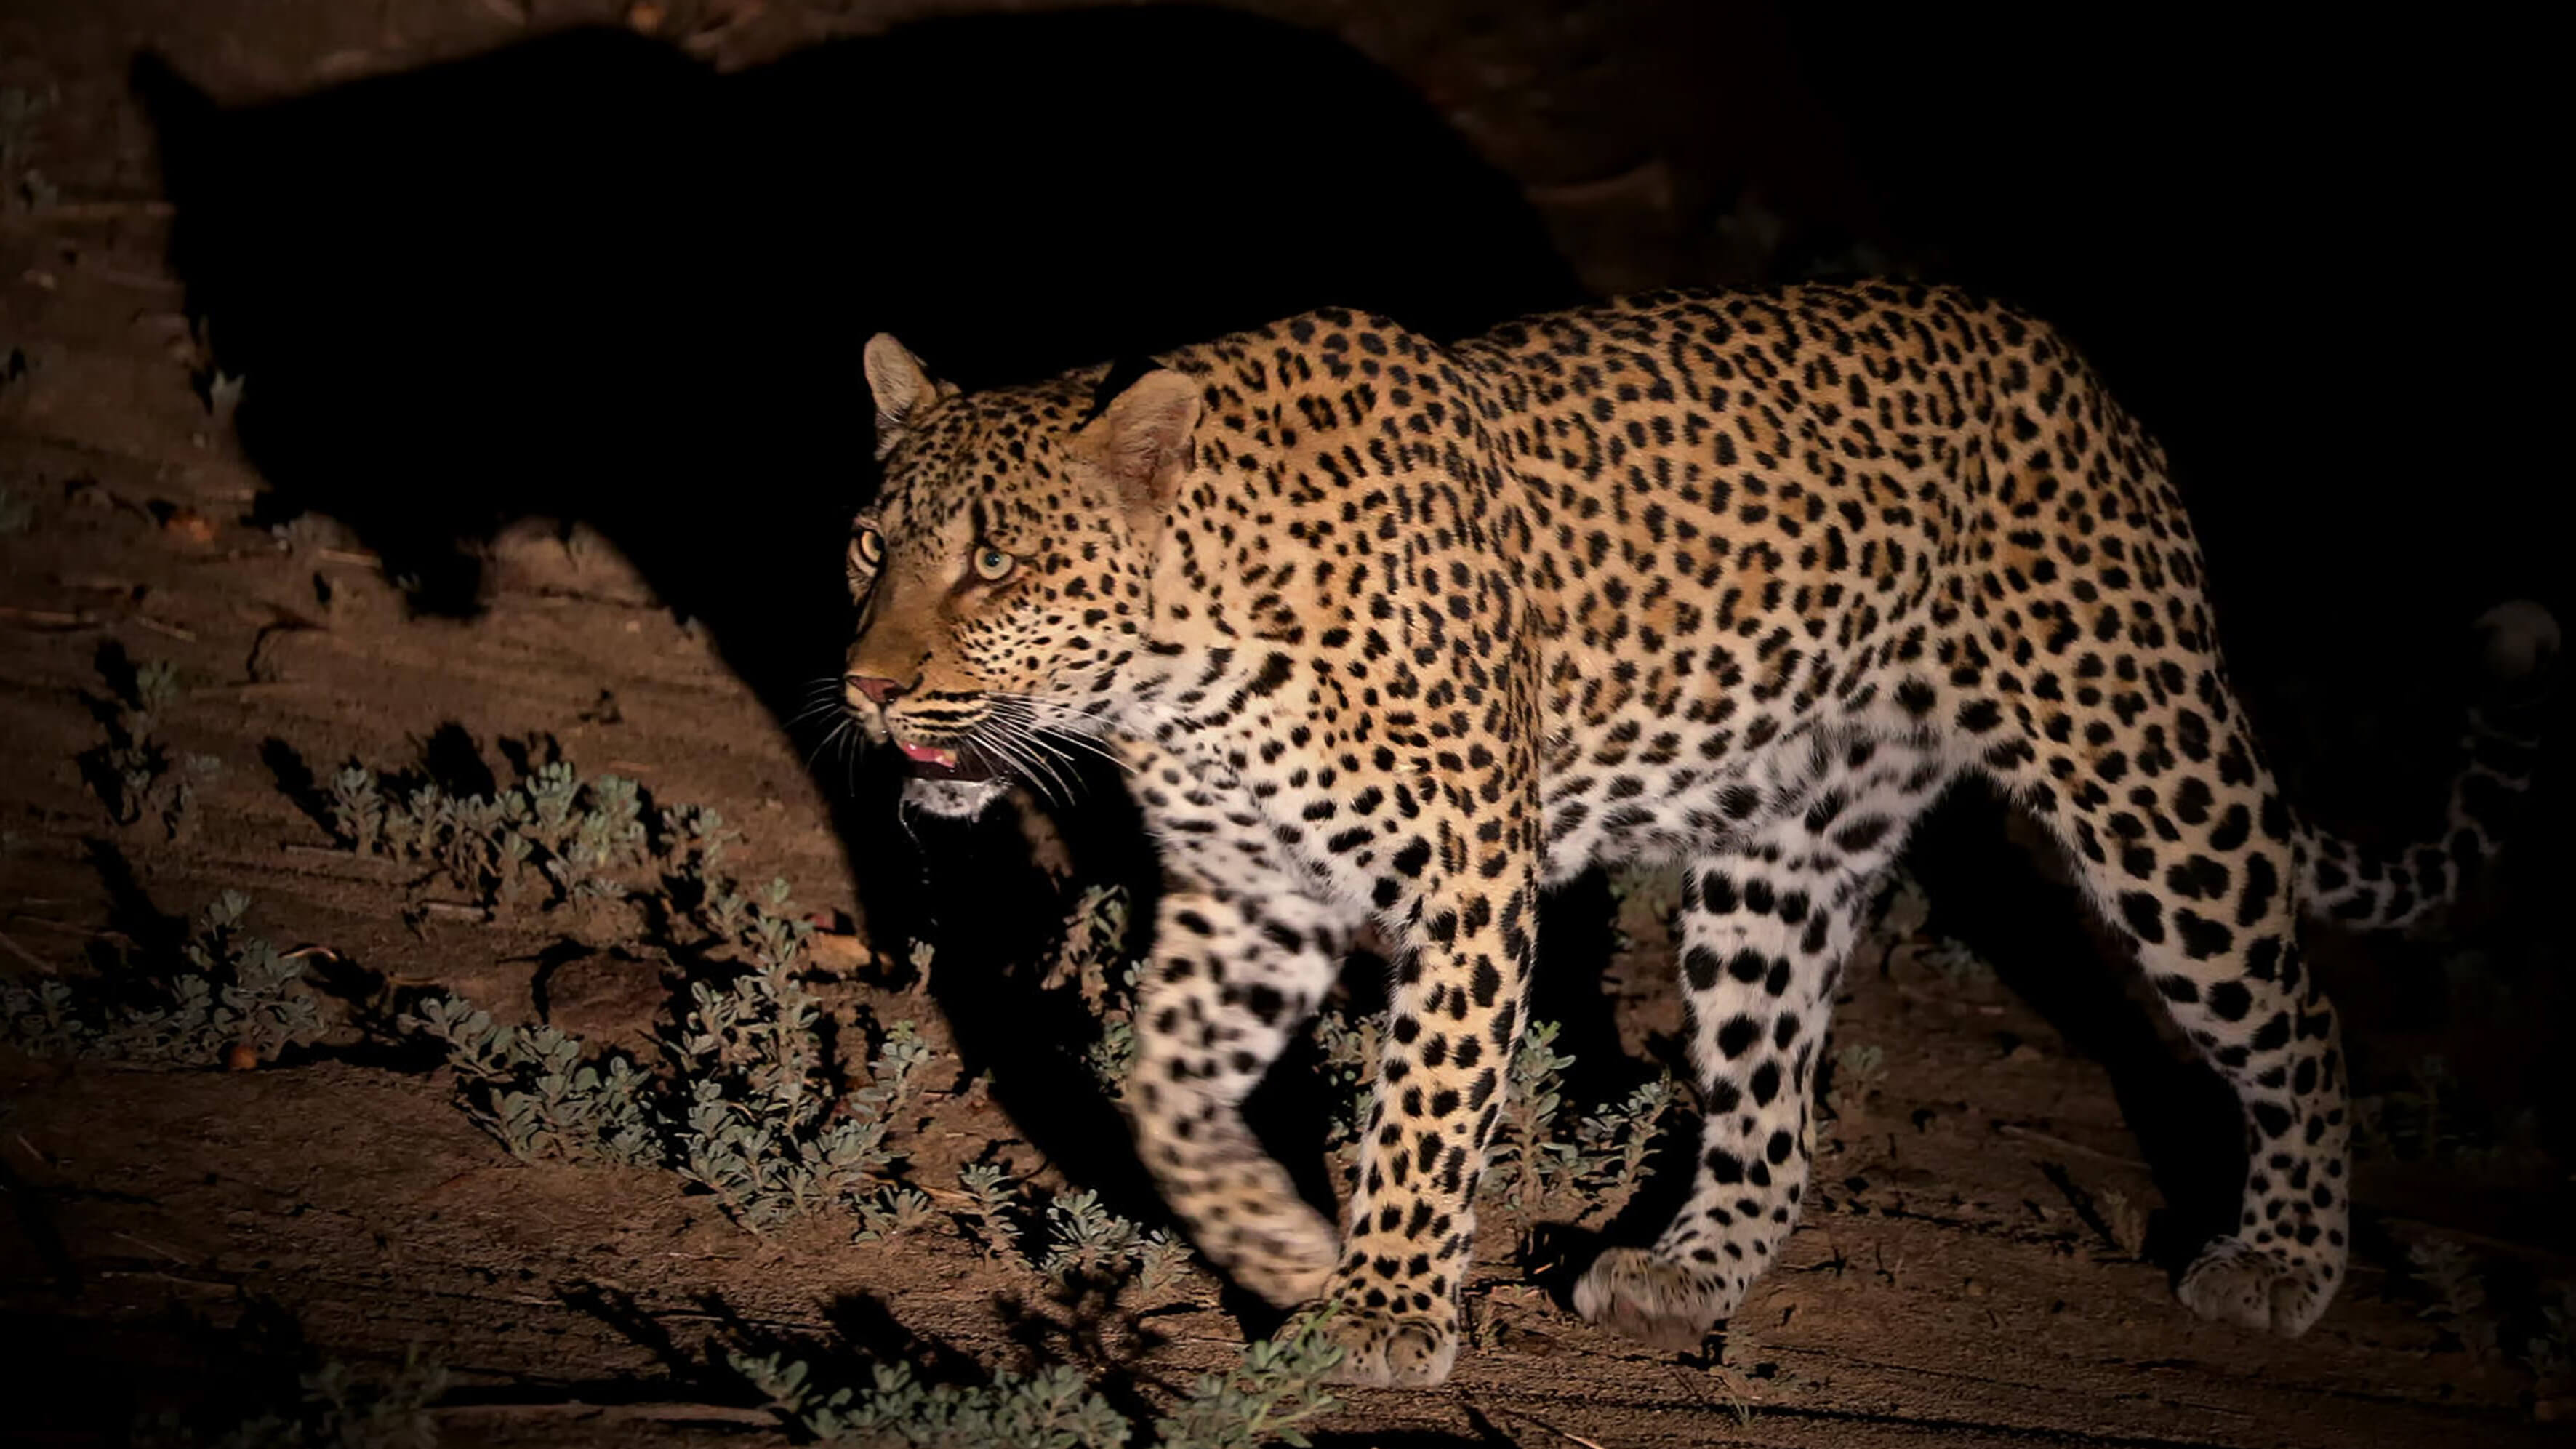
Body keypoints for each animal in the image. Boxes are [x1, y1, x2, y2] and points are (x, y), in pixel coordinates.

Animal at [836, 282, 2556, 1387]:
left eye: (993, 564)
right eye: (865, 546)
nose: (865, 684)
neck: (1179, 673)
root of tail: (2074, 374)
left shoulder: (1465, 879)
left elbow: (1426, 1106)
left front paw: (1383, 1307)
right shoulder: (1246, 890)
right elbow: (1164, 1090)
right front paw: (1276, 1242)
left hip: (2140, 772)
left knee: (2296, 1016)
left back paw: (2283, 1260)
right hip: (1777, 861)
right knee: (1776, 1108)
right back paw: (1686, 1267)